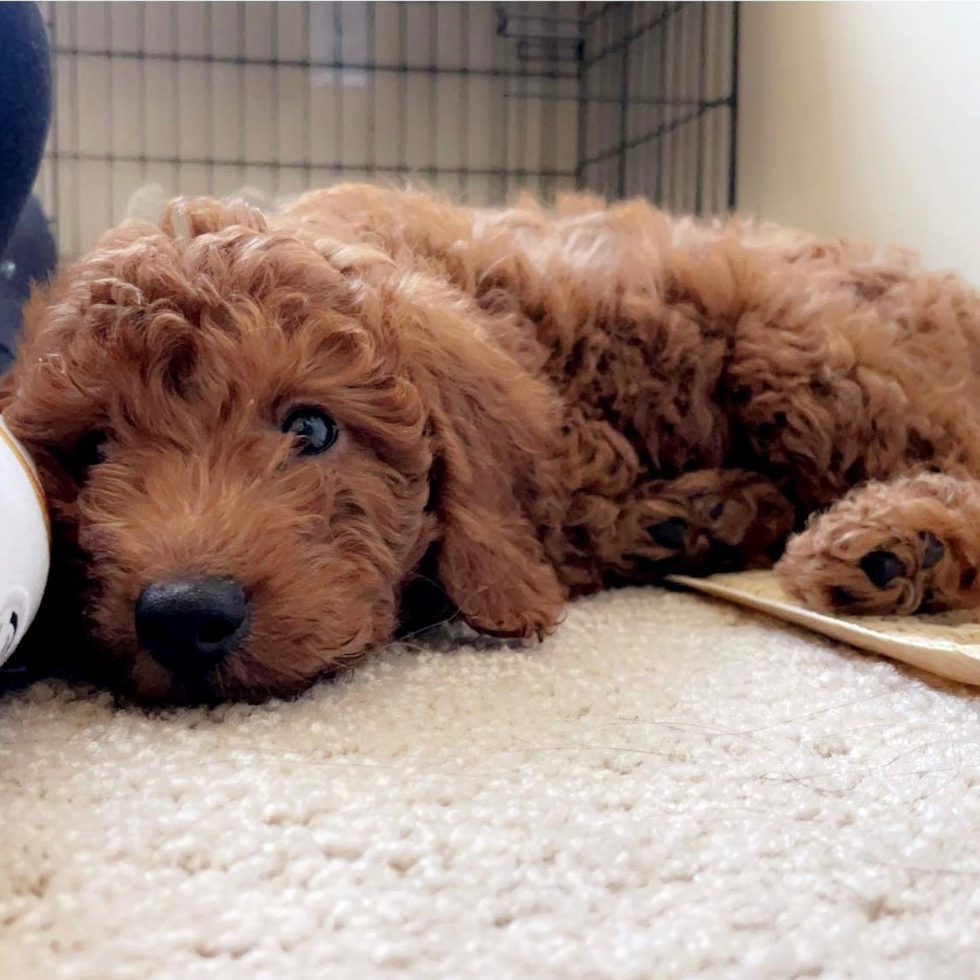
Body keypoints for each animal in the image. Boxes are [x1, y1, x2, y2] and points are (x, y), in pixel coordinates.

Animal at [1, 184, 980, 704]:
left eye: (311, 428)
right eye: (93, 449)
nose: (183, 613)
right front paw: (679, 518)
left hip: (803, 343)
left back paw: (900, 541)